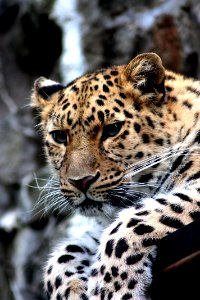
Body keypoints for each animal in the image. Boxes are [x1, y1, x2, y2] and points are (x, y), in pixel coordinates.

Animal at [31, 54, 200, 300]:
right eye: (59, 136)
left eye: (112, 130)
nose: (80, 181)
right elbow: (63, 254)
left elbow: (131, 223)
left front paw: (112, 289)